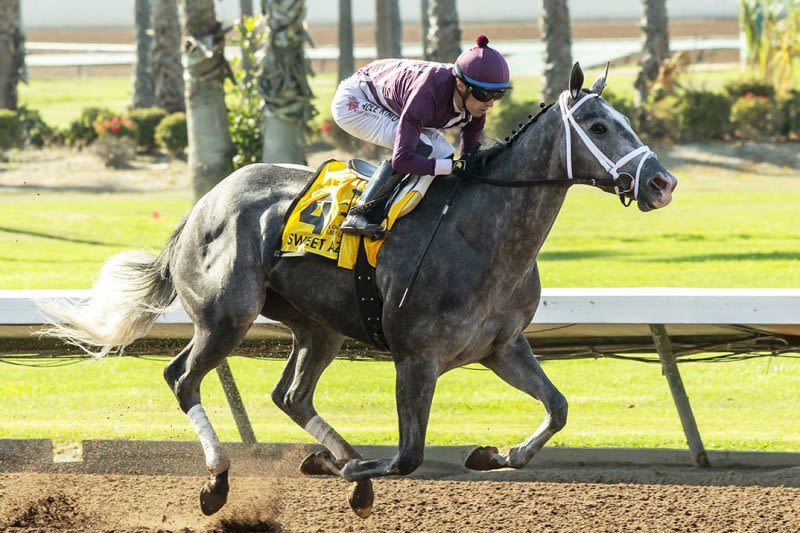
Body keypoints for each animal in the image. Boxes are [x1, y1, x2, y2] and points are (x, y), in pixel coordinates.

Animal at [39, 64, 676, 516]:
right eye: (598, 126)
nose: (662, 183)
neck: (480, 233)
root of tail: (204, 204)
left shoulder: (501, 347)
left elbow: (558, 410)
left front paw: (490, 453)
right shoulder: (416, 358)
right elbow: (408, 456)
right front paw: (352, 471)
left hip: (317, 327)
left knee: (291, 395)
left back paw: (335, 459)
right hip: (227, 317)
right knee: (183, 378)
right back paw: (223, 480)